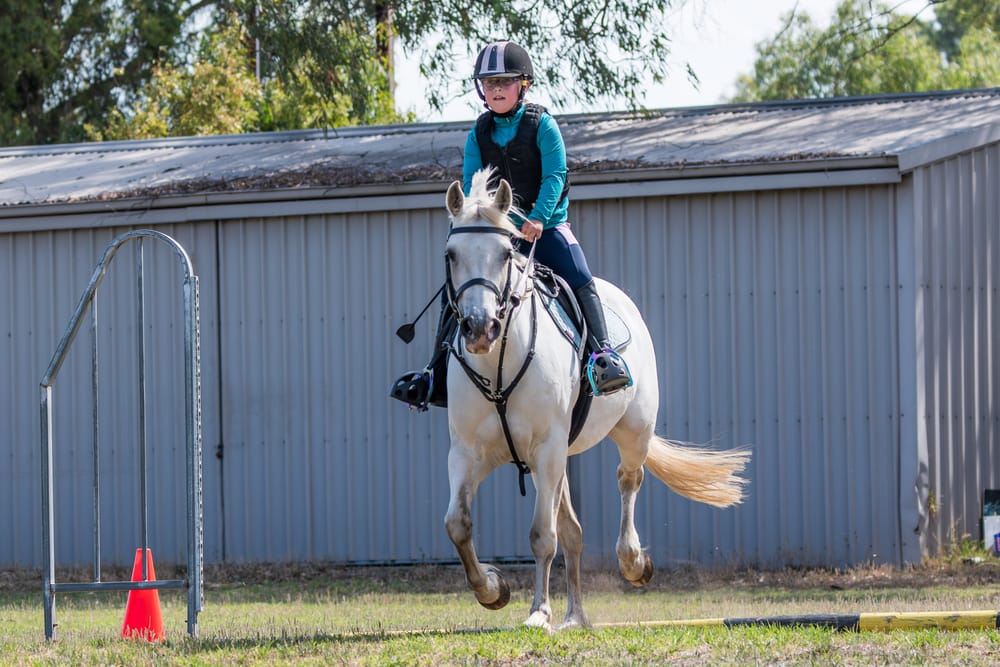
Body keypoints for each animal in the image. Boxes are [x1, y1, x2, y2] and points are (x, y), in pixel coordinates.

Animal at [441, 168, 750, 630]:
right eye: (451, 254)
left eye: (505, 254)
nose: (480, 329)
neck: (499, 364)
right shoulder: (468, 452)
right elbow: (458, 524)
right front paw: (494, 590)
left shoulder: (547, 448)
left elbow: (542, 535)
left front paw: (538, 613)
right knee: (573, 531)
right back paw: (576, 617)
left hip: (631, 431)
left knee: (628, 480)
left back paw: (633, 564)